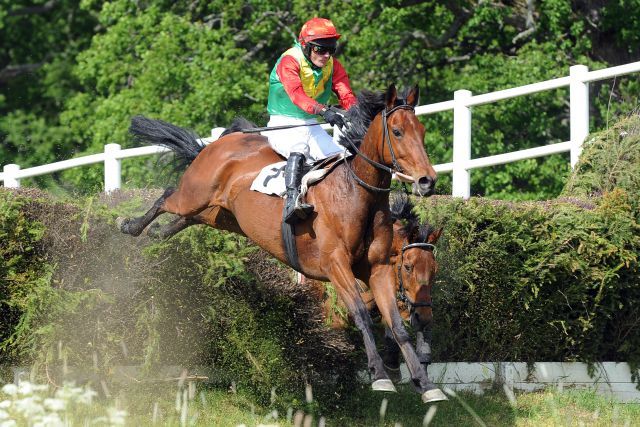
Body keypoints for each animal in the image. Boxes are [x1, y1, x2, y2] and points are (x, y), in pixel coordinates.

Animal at [116, 85, 444, 402]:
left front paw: (424, 382)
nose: (427, 180)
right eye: (398, 132)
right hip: (194, 194)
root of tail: (218, 144)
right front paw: (379, 375)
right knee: (167, 195)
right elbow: (361, 315)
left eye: (422, 131)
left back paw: (157, 233)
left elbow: (396, 325)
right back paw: (129, 225)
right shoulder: (335, 265)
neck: (356, 194)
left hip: (222, 214)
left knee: (188, 217)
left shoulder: (378, 268)